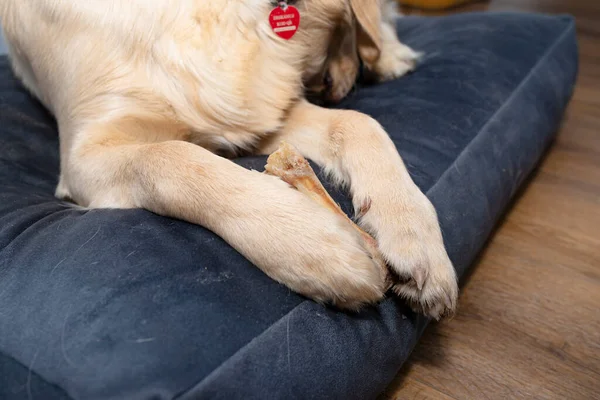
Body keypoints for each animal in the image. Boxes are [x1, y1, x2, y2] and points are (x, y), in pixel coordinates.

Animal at [0, 0, 458, 318]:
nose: (338, 88)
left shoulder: (264, 111)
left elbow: (360, 123)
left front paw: (412, 232)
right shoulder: (86, 153)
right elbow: (172, 156)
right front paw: (313, 244)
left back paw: (392, 55)